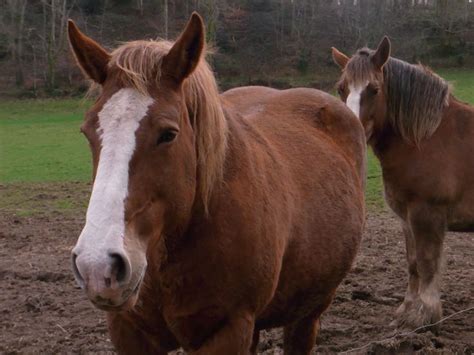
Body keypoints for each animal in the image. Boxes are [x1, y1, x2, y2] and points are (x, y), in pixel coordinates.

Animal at [67, 12, 366, 354]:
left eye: (168, 134)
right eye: (88, 132)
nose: (98, 265)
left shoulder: (227, 330)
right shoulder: (129, 331)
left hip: (308, 313)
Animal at [332, 37, 474, 330]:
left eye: (374, 89)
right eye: (341, 88)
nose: (349, 131)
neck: (426, 139)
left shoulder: (427, 214)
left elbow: (428, 262)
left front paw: (424, 315)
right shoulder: (406, 218)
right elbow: (413, 264)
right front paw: (406, 311)